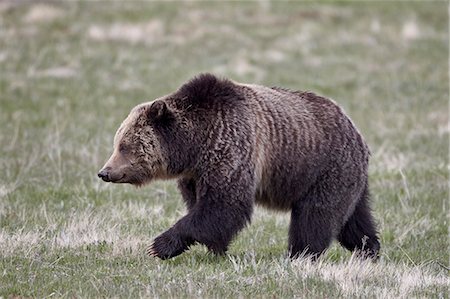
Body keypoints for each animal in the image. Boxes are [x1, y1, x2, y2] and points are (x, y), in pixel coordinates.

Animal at [97, 74, 380, 262]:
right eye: (117, 143)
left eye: (124, 146)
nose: (104, 172)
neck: (194, 146)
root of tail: (357, 132)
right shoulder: (195, 173)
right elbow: (203, 206)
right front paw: (216, 249)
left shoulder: (231, 146)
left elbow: (224, 203)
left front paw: (160, 245)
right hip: (347, 179)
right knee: (355, 220)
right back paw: (369, 249)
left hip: (323, 168)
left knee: (315, 216)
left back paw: (300, 254)